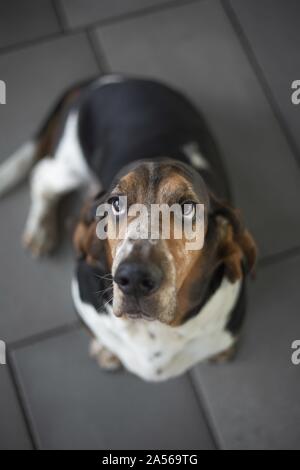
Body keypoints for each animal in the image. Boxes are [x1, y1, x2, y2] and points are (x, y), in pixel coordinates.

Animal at [0, 74, 258, 382]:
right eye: (115, 203)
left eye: (187, 207)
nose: (133, 278)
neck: (155, 330)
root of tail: (109, 79)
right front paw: (105, 351)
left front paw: (222, 353)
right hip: (68, 165)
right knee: (41, 177)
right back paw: (41, 230)